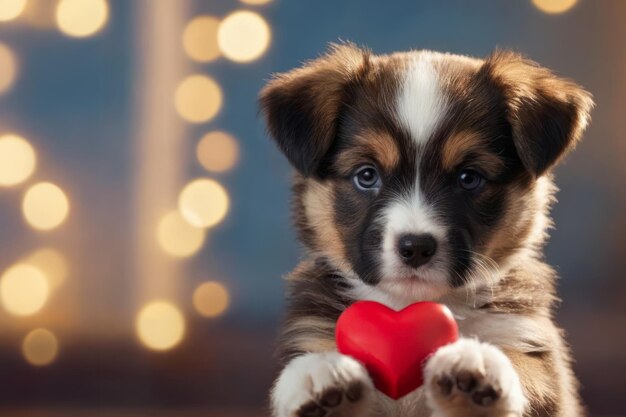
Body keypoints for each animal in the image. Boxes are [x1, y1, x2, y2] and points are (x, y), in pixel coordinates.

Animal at [258, 43, 588, 416]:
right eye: (366, 175)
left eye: (469, 178)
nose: (415, 247)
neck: (409, 303)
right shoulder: (316, 330)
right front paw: (319, 372)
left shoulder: (529, 343)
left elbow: (526, 367)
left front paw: (478, 368)